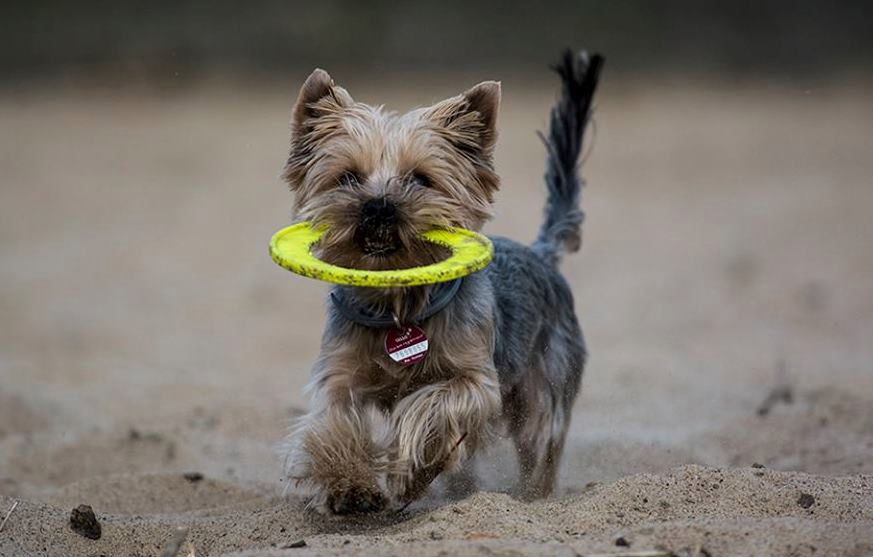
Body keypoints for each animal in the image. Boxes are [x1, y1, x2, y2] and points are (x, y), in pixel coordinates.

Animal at [280, 50, 600, 510]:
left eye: (420, 179)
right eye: (348, 177)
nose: (378, 206)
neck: (396, 303)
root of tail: (542, 252)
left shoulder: (476, 381)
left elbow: (432, 403)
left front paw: (407, 472)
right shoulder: (341, 375)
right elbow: (334, 421)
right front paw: (349, 484)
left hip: (545, 382)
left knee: (540, 440)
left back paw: (533, 494)